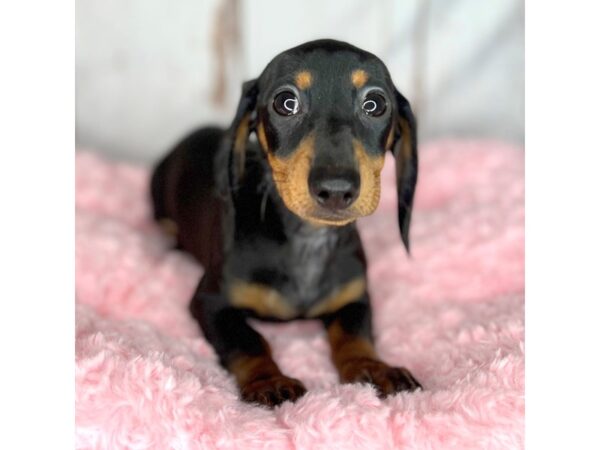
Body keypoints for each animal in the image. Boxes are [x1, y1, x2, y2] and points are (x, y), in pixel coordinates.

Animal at [151, 39, 422, 408]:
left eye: (375, 104)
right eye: (286, 102)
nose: (335, 189)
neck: (307, 238)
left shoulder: (355, 298)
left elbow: (354, 335)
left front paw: (372, 367)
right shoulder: (211, 302)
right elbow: (249, 340)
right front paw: (269, 380)